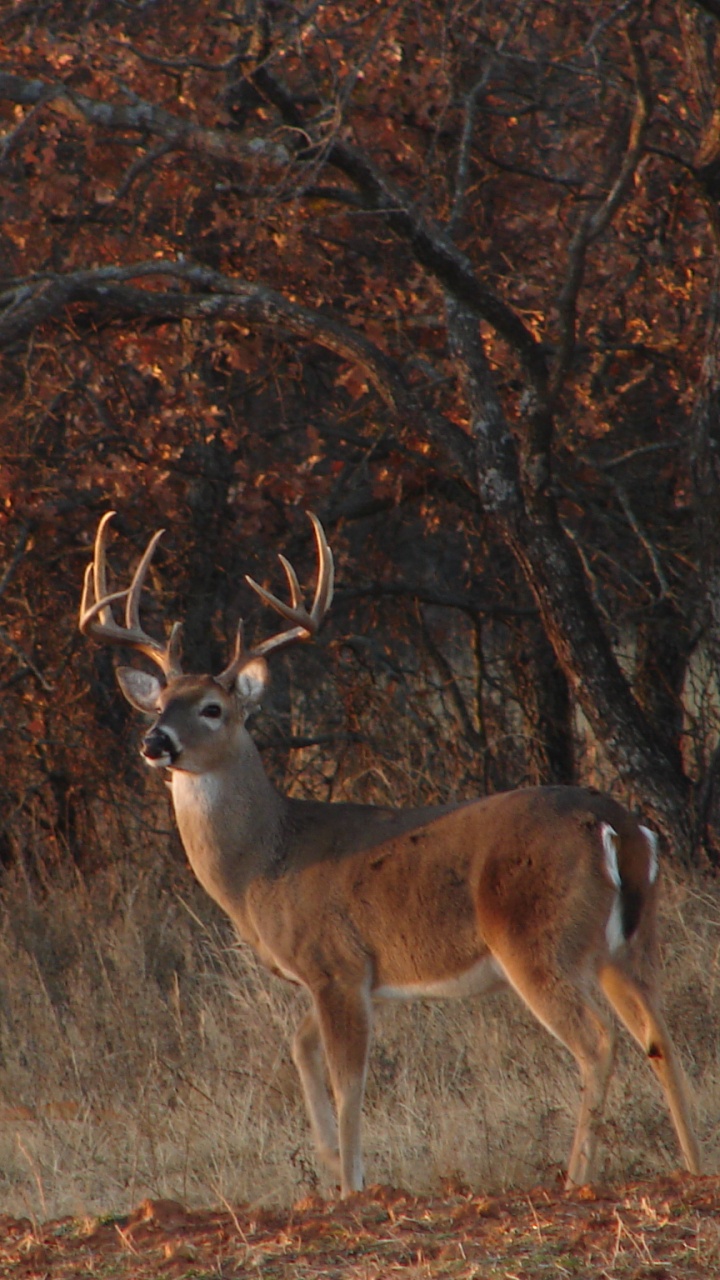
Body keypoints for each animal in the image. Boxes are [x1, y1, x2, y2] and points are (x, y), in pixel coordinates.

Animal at [79, 511, 701, 1198]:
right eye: (161, 702)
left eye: (212, 709)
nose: (154, 741)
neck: (265, 862)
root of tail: (620, 827)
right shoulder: (350, 978)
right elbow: (301, 1050)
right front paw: (330, 1170)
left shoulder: (336, 964)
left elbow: (348, 1084)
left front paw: (352, 1188)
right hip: (631, 945)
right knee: (661, 1036)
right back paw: (697, 1166)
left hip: (538, 941)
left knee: (598, 1042)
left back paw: (576, 1179)